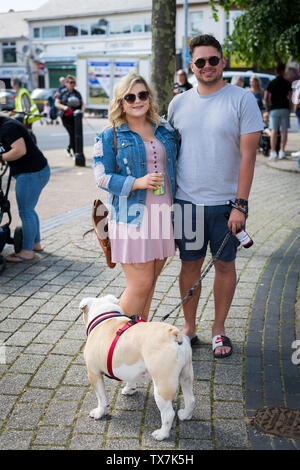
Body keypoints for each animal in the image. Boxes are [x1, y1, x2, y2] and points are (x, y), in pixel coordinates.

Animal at [81, 294, 196, 440]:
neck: (105, 315)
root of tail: (174, 333)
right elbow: (130, 380)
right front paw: (129, 389)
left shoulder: (94, 374)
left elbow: (101, 398)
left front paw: (99, 413)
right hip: (186, 375)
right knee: (190, 399)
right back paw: (185, 415)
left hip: (162, 386)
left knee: (168, 413)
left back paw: (161, 434)